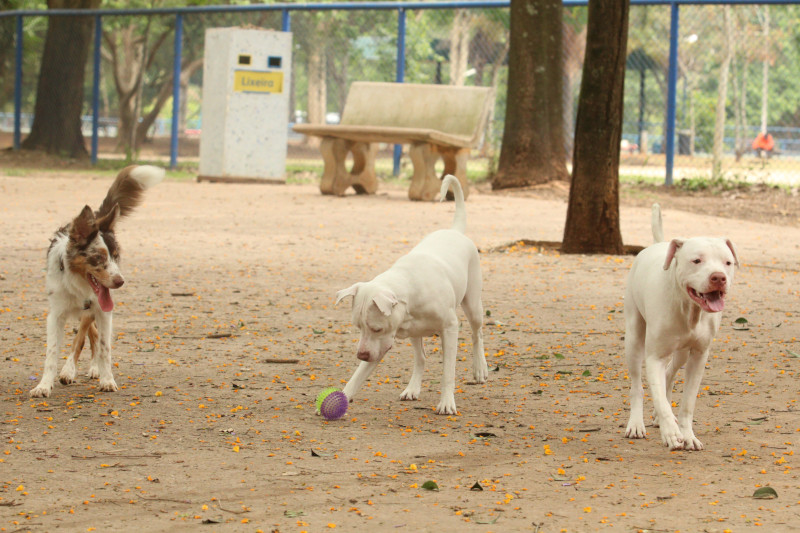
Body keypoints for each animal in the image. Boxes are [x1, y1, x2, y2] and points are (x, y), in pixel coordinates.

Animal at [30, 164, 164, 396]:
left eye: (116, 256)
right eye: (98, 258)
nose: (120, 282)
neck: (79, 285)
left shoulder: (103, 311)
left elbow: (103, 347)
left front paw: (107, 379)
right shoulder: (56, 314)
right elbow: (52, 352)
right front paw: (44, 385)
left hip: (93, 310)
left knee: (85, 335)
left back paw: (86, 369)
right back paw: (72, 370)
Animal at [332, 175, 488, 416]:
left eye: (377, 328)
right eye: (359, 328)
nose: (361, 355)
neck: (408, 290)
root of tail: (454, 231)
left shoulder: (450, 328)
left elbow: (448, 372)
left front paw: (446, 402)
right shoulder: (380, 344)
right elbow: (358, 375)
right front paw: (342, 397)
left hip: (472, 305)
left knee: (477, 334)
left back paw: (480, 368)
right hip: (416, 334)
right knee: (421, 358)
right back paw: (412, 389)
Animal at [624, 204, 736, 448]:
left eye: (728, 262)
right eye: (697, 261)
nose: (719, 277)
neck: (689, 310)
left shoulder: (699, 356)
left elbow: (687, 403)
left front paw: (687, 434)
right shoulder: (654, 356)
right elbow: (657, 396)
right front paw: (671, 433)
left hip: (682, 352)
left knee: (669, 373)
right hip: (634, 338)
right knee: (637, 385)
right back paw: (636, 423)